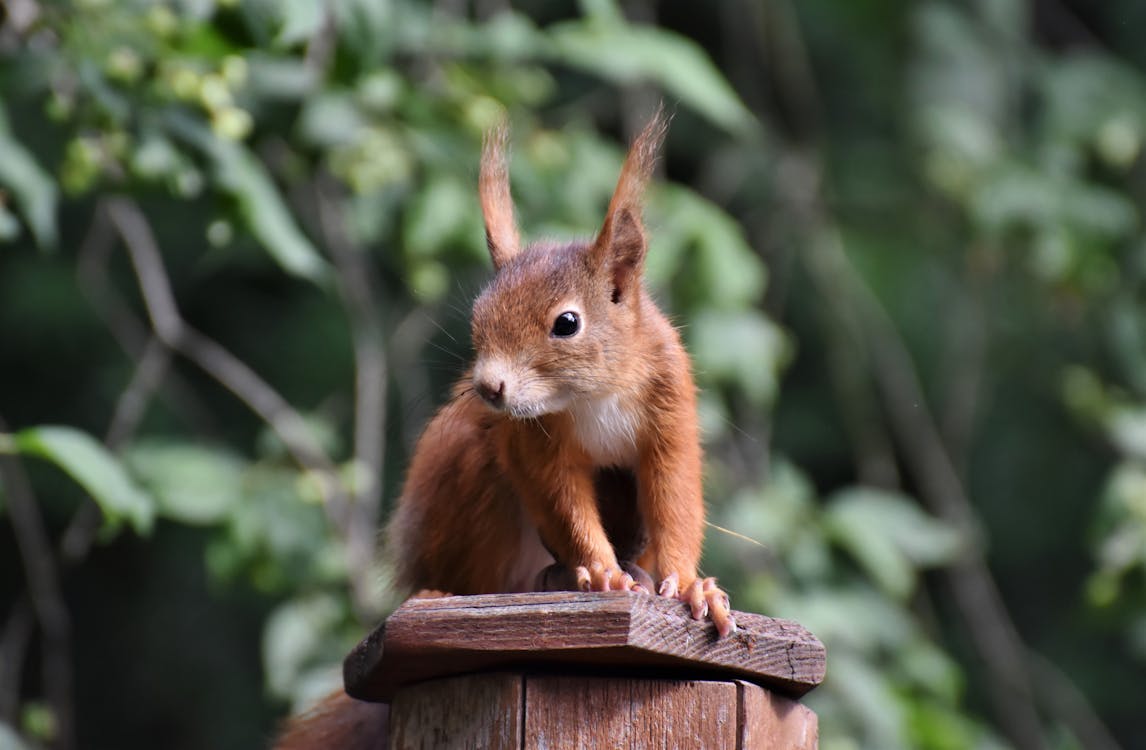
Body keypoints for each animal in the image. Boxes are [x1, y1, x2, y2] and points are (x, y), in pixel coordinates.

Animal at [272, 108, 728, 747]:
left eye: (567, 323)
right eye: (478, 318)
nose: (489, 388)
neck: (593, 394)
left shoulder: (669, 405)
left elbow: (674, 492)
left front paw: (690, 586)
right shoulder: (531, 441)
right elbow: (562, 498)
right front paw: (603, 573)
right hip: (469, 488)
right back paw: (456, 590)